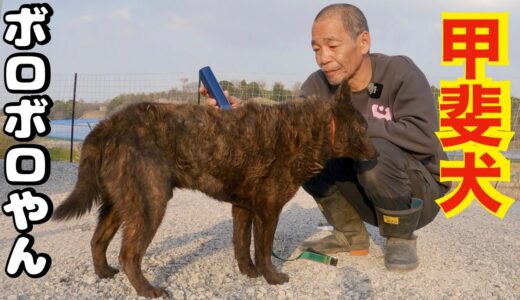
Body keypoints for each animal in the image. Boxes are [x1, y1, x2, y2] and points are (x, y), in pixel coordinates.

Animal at [53, 80, 378, 298]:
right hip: (150, 203)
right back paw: (147, 289)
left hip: (121, 203)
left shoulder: (244, 208)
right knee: (129, 254)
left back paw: (104, 273)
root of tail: (110, 121)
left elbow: (242, 246)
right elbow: (263, 249)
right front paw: (271, 277)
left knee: (97, 240)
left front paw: (249, 273)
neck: (308, 130)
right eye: (363, 128)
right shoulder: (268, 210)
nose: (376, 155)